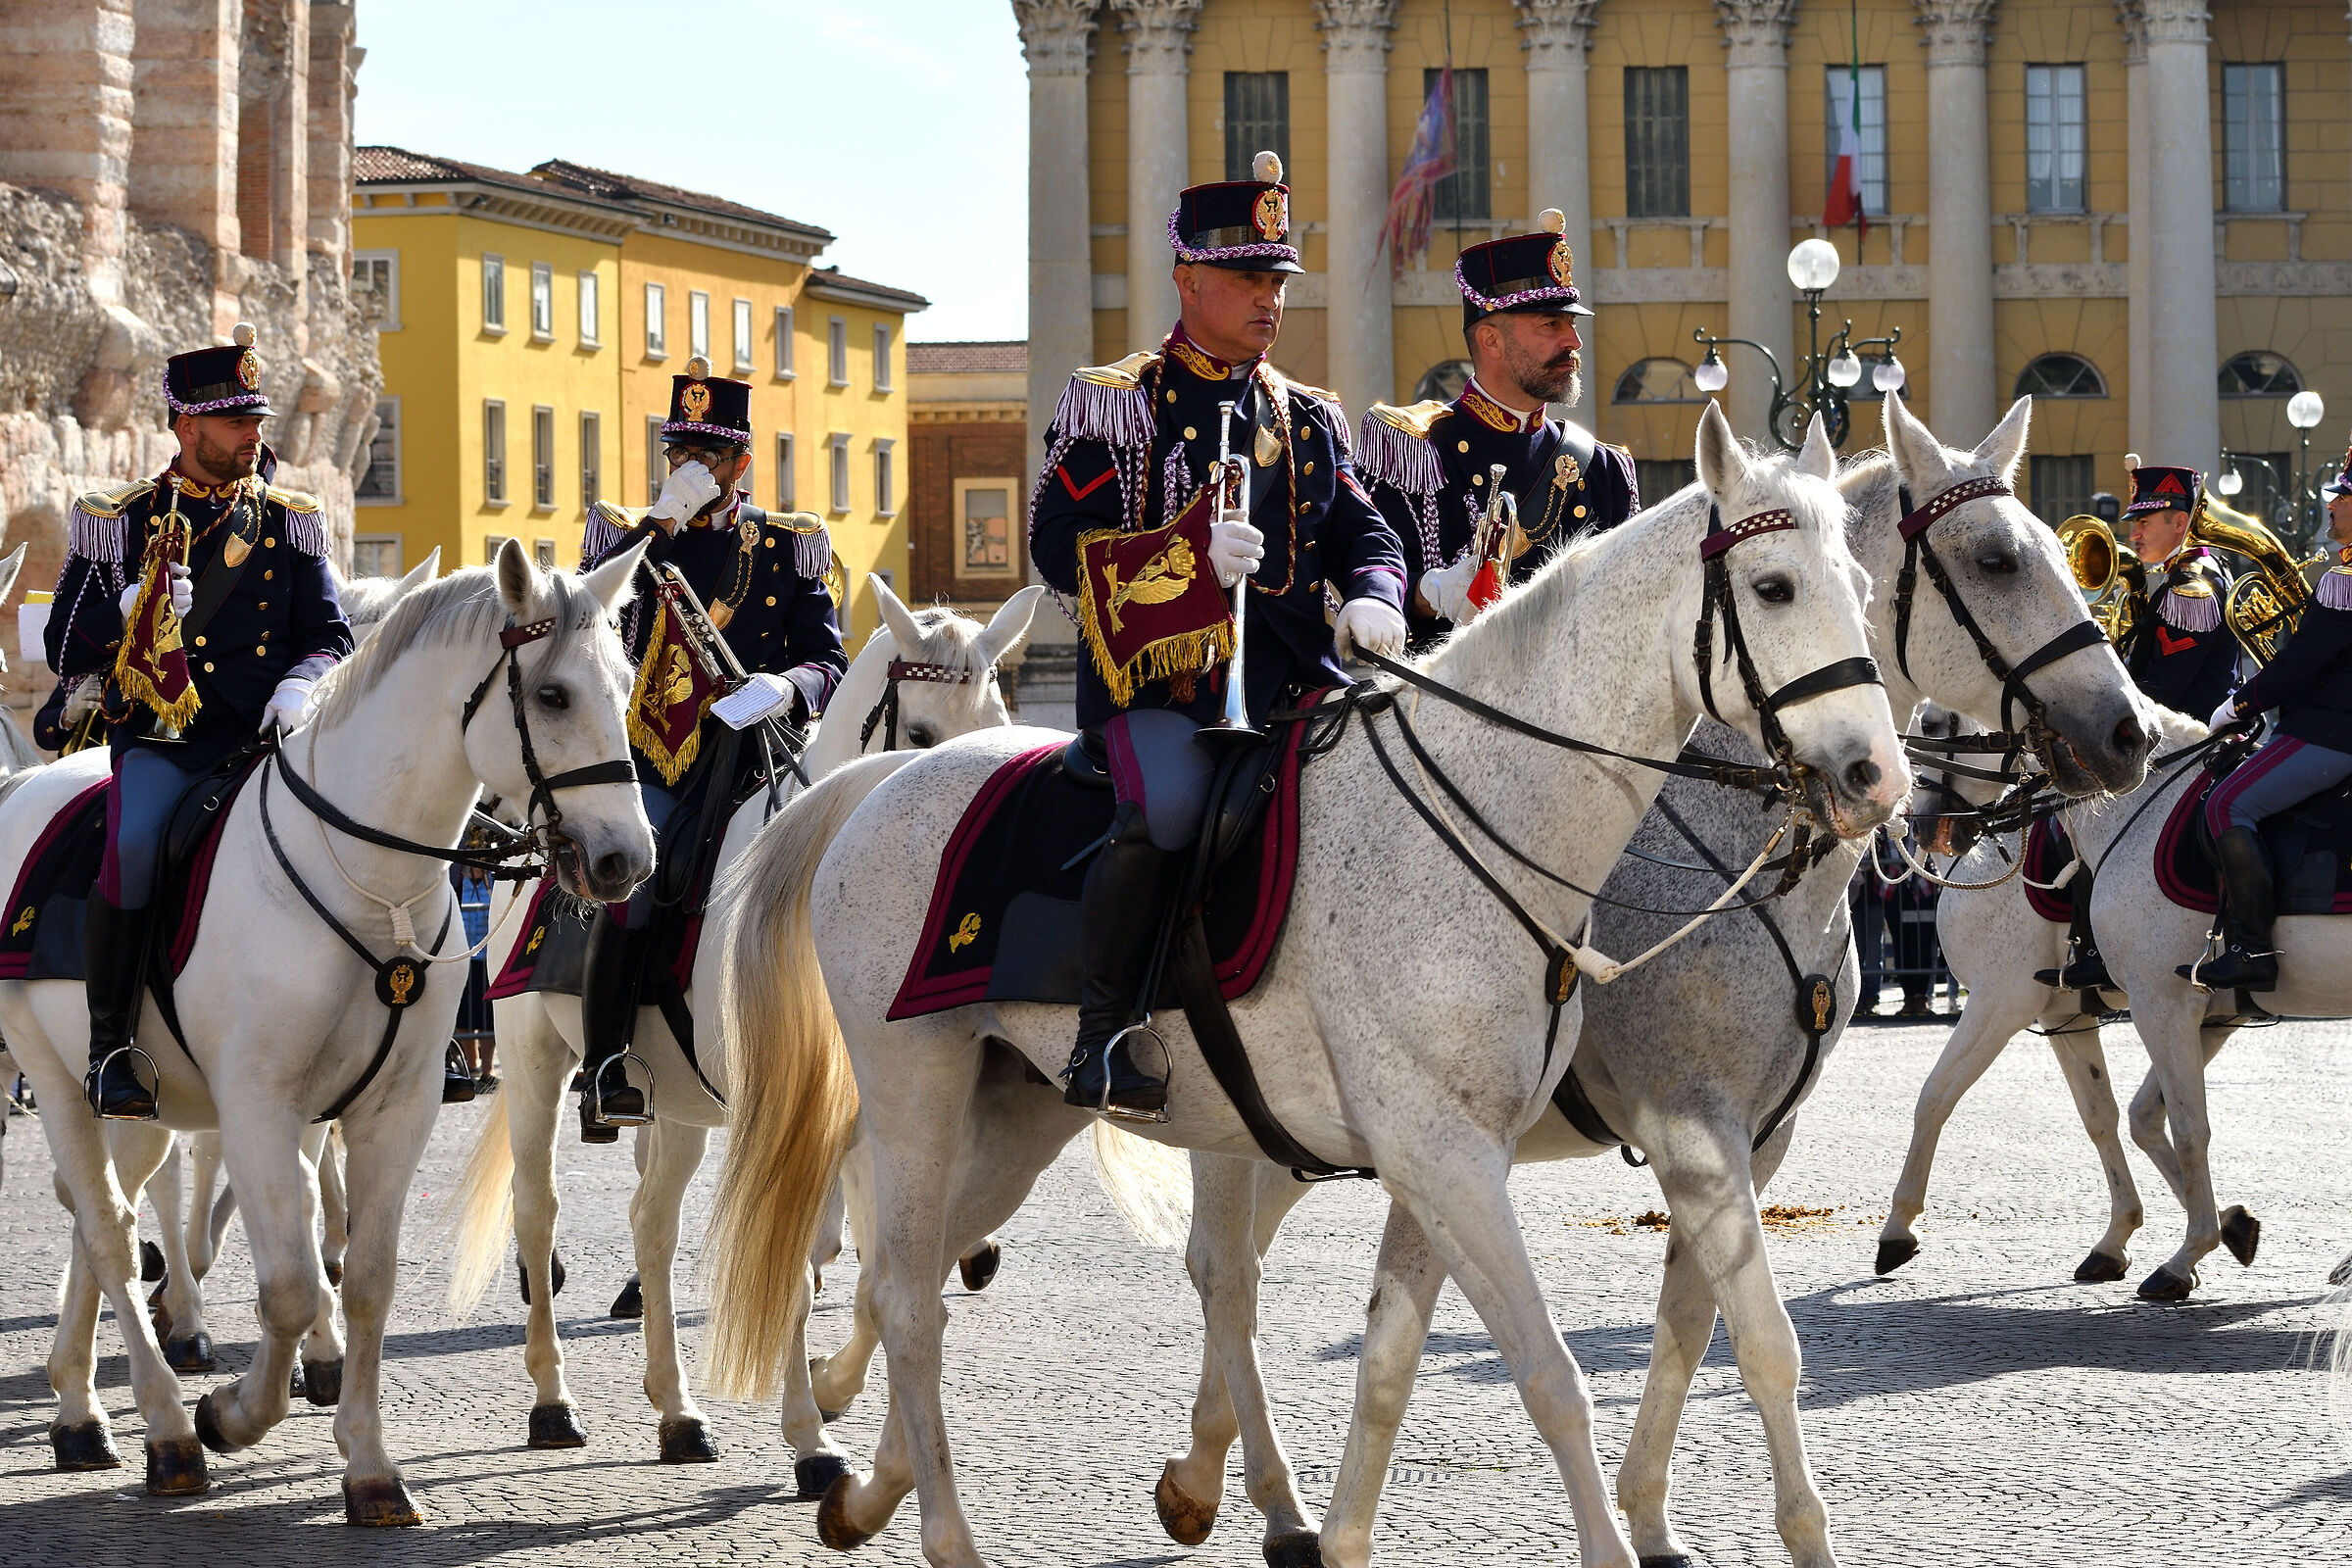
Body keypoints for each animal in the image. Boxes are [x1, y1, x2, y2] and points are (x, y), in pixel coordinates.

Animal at [0, 539, 652, 1521]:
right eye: (552, 696)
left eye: (626, 683)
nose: (627, 860)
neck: (371, 880)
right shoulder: (259, 1107)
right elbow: (290, 1285)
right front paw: (231, 1415)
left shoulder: (392, 1107)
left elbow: (362, 1278)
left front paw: (369, 1462)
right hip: (62, 1078)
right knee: (110, 1230)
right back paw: (164, 1428)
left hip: (141, 1104)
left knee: (94, 1214)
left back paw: (79, 1407)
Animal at [439, 577, 1044, 1462]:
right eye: (922, 735)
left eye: (1000, 722)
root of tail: (536, 846)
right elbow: (797, 1259)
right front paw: (810, 1440)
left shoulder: (868, 1115)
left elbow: (871, 1264)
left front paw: (831, 1390)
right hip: (532, 1060)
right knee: (538, 1211)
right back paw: (553, 1400)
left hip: (677, 1102)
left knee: (651, 1222)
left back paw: (678, 1410)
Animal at [703, 403, 1910, 1568]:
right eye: (1772, 585)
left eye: (1863, 594)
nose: (1876, 777)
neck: (1488, 815)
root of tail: (883, 778)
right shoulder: (1492, 1148)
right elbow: (1554, 1374)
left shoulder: (1455, 1158)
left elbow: (1394, 1361)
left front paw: (1337, 1534)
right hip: (915, 1092)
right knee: (908, 1294)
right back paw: (940, 1530)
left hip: (1019, 1111)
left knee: (929, 1276)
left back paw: (873, 1486)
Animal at [1113, 394, 2154, 1568]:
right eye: (1995, 559)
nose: (2130, 731)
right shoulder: (1689, 1123)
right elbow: (1759, 1340)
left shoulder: (1751, 1133)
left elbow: (1691, 1325)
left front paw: (1648, 1512)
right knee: (1225, 1272)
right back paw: (1259, 1491)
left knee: (1233, 1265)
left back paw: (1229, 1483)